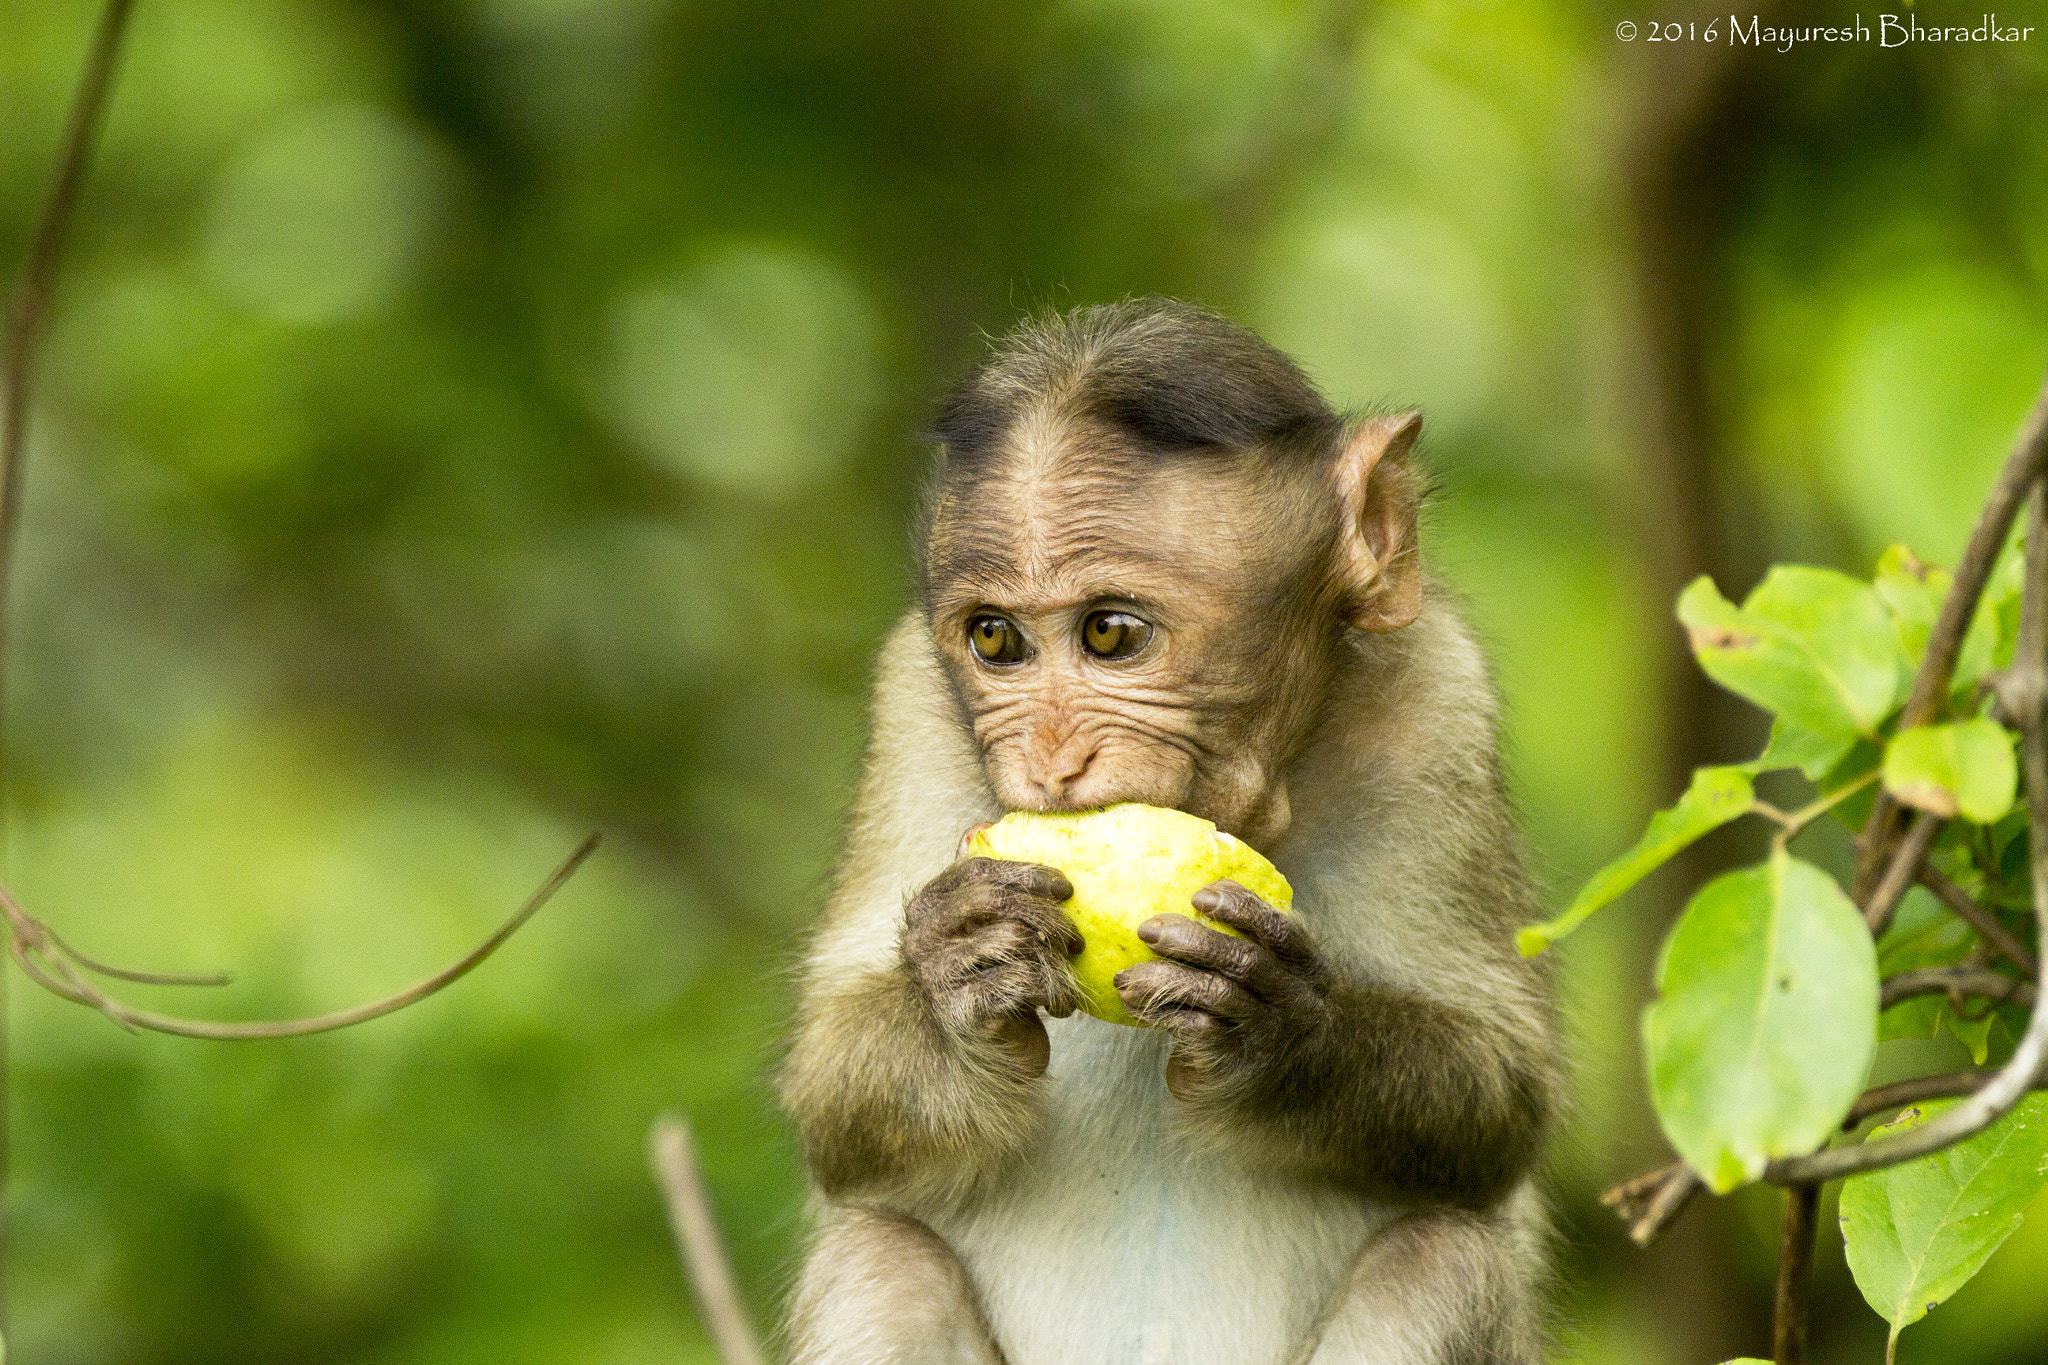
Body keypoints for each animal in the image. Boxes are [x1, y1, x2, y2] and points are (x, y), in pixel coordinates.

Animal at [778, 299, 1560, 1365]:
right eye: (994, 638)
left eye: (1111, 633)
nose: (1052, 762)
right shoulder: (909, 702)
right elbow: (831, 1101)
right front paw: (959, 968)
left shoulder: (1439, 700)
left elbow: (1502, 1093)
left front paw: (1279, 1033)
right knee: (881, 1257)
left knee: (1442, 1254)